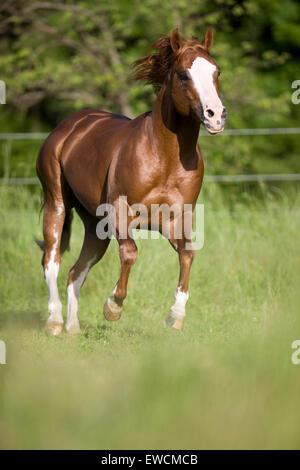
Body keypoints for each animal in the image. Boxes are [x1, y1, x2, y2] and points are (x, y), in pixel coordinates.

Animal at [36, 27, 226, 336]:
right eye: (183, 74)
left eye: (216, 72)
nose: (216, 116)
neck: (164, 158)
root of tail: (69, 127)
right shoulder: (121, 213)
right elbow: (130, 253)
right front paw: (113, 307)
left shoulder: (177, 219)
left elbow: (187, 255)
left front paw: (175, 316)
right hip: (57, 203)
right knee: (51, 261)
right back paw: (54, 323)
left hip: (94, 225)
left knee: (76, 272)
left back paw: (73, 329)